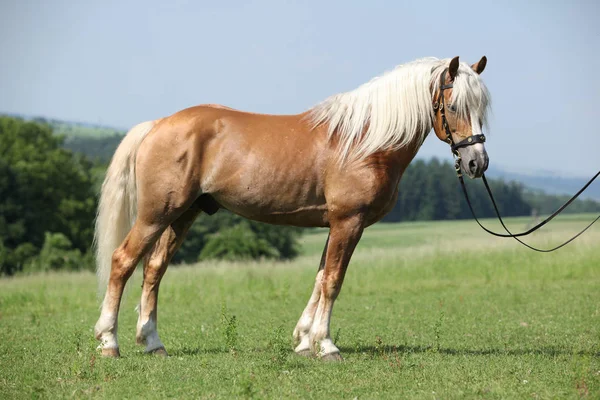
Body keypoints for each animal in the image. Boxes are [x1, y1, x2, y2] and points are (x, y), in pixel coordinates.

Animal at [92, 55, 488, 360]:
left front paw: (304, 341)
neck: (364, 141)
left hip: (182, 215)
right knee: (123, 261)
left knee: (154, 269)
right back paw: (109, 341)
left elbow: (319, 279)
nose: (477, 163)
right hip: (155, 214)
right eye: (454, 106)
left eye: (483, 108)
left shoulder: (334, 225)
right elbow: (333, 281)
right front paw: (326, 346)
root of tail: (158, 124)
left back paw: (153, 343)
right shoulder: (349, 222)